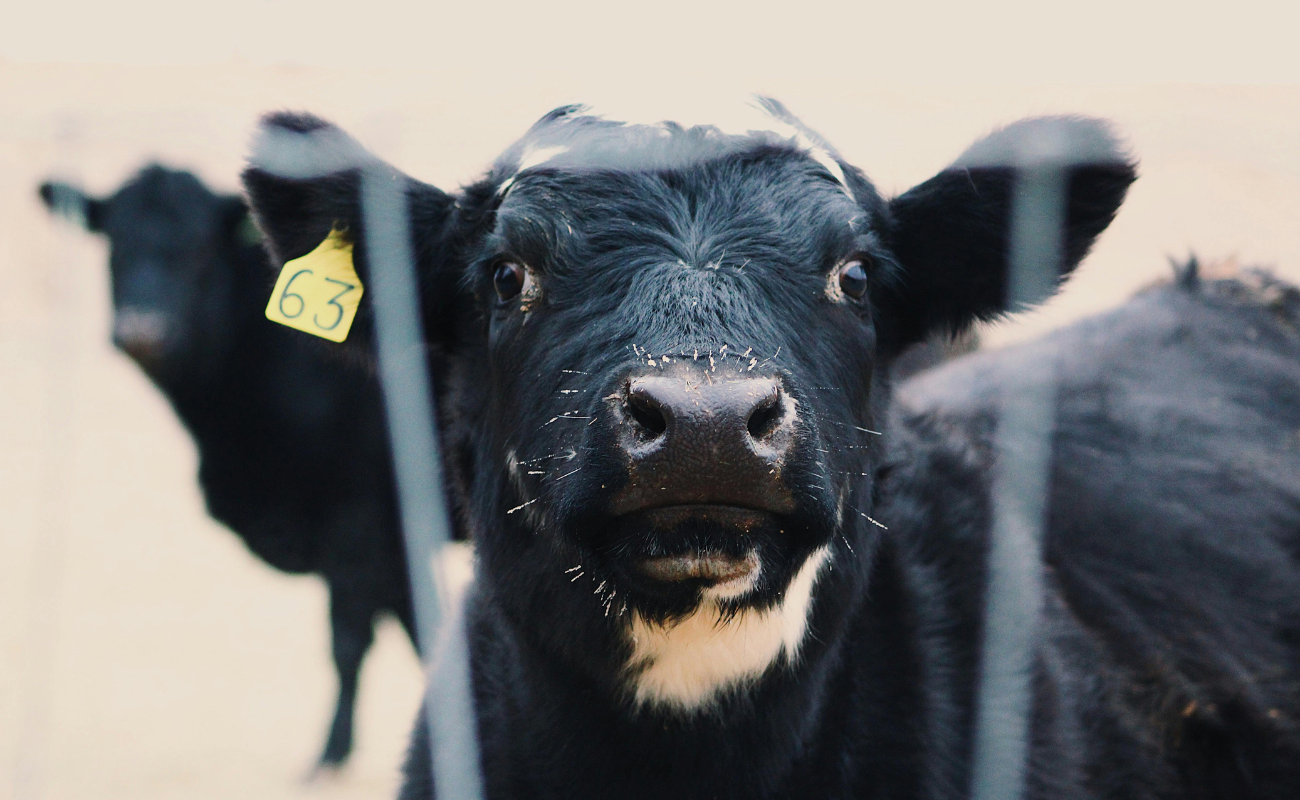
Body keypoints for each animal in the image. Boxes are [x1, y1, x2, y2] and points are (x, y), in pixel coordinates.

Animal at [39, 166, 426, 773]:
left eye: (200, 249)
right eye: (113, 244)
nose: (143, 331)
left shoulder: (355, 520)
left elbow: (349, 641)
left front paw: (330, 759)